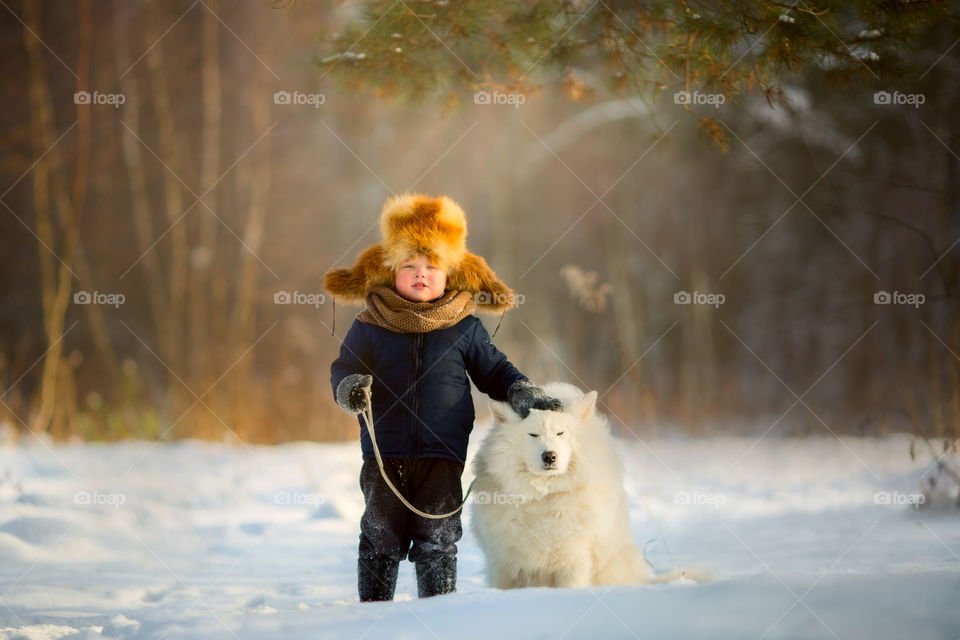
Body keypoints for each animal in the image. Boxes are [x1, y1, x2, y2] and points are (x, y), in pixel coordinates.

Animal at [468, 382, 680, 588]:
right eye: (533, 435)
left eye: (560, 433)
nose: (549, 456)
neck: (543, 495)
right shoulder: (503, 563)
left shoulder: (573, 557)